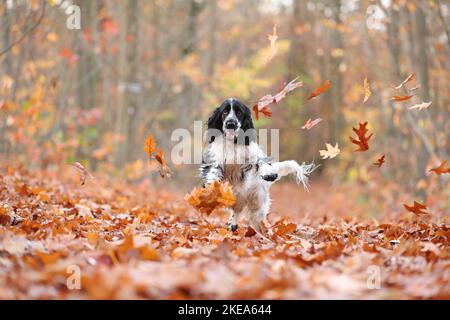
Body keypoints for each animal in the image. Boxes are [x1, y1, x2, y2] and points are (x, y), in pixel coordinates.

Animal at [199, 98, 314, 235]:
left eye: (239, 112)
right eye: (224, 112)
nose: (230, 123)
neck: (233, 143)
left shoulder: (252, 157)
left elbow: (260, 162)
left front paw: (269, 173)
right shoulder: (214, 159)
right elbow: (214, 171)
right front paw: (212, 187)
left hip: (257, 203)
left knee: (251, 218)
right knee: (237, 211)